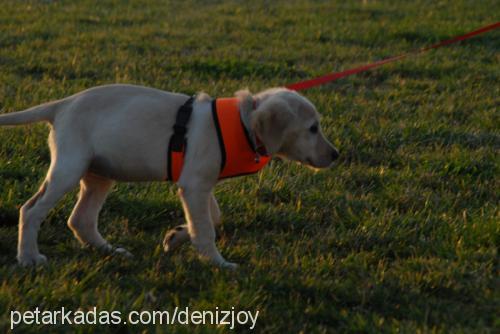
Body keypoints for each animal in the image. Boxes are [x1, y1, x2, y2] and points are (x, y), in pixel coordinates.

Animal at [0, 85, 338, 268]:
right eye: (313, 128)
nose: (335, 155)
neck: (242, 122)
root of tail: (63, 104)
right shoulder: (195, 185)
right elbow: (206, 229)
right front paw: (218, 263)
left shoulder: (199, 183)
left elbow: (211, 217)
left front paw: (176, 236)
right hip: (69, 167)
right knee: (31, 210)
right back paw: (29, 258)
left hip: (100, 173)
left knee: (80, 219)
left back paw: (111, 251)